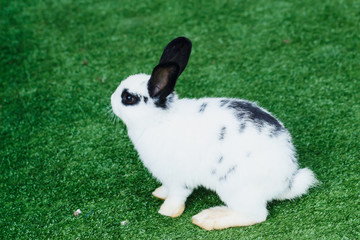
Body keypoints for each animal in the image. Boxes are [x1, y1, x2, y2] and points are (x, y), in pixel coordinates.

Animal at [111, 36, 316, 230]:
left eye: (128, 98)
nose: (111, 99)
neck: (158, 120)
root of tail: (286, 182)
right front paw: (160, 193)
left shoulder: (178, 179)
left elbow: (177, 196)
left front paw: (166, 211)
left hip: (235, 189)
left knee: (257, 215)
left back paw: (208, 219)